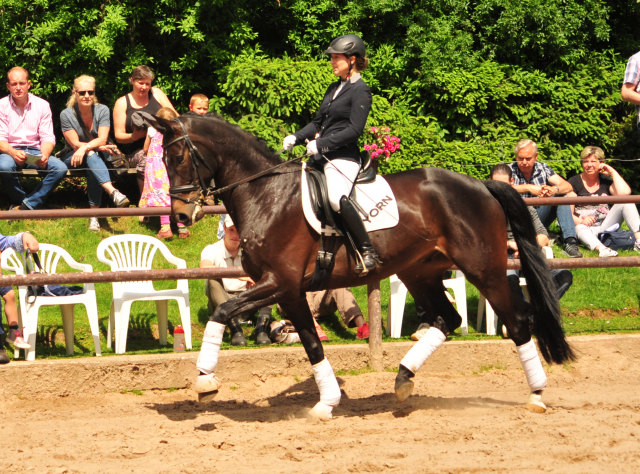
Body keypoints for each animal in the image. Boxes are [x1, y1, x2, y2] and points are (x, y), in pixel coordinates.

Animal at [141, 114, 576, 418]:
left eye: (177, 156)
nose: (180, 215)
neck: (267, 194)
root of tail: (480, 184)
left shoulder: (278, 282)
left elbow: (223, 311)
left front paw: (205, 381)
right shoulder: (290, 291)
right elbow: (312, 343)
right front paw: (326, 403)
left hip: (482, 269)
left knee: (517, 321)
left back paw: (537, 394)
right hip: (420, 272)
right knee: (449, 319)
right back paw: (403, 379)